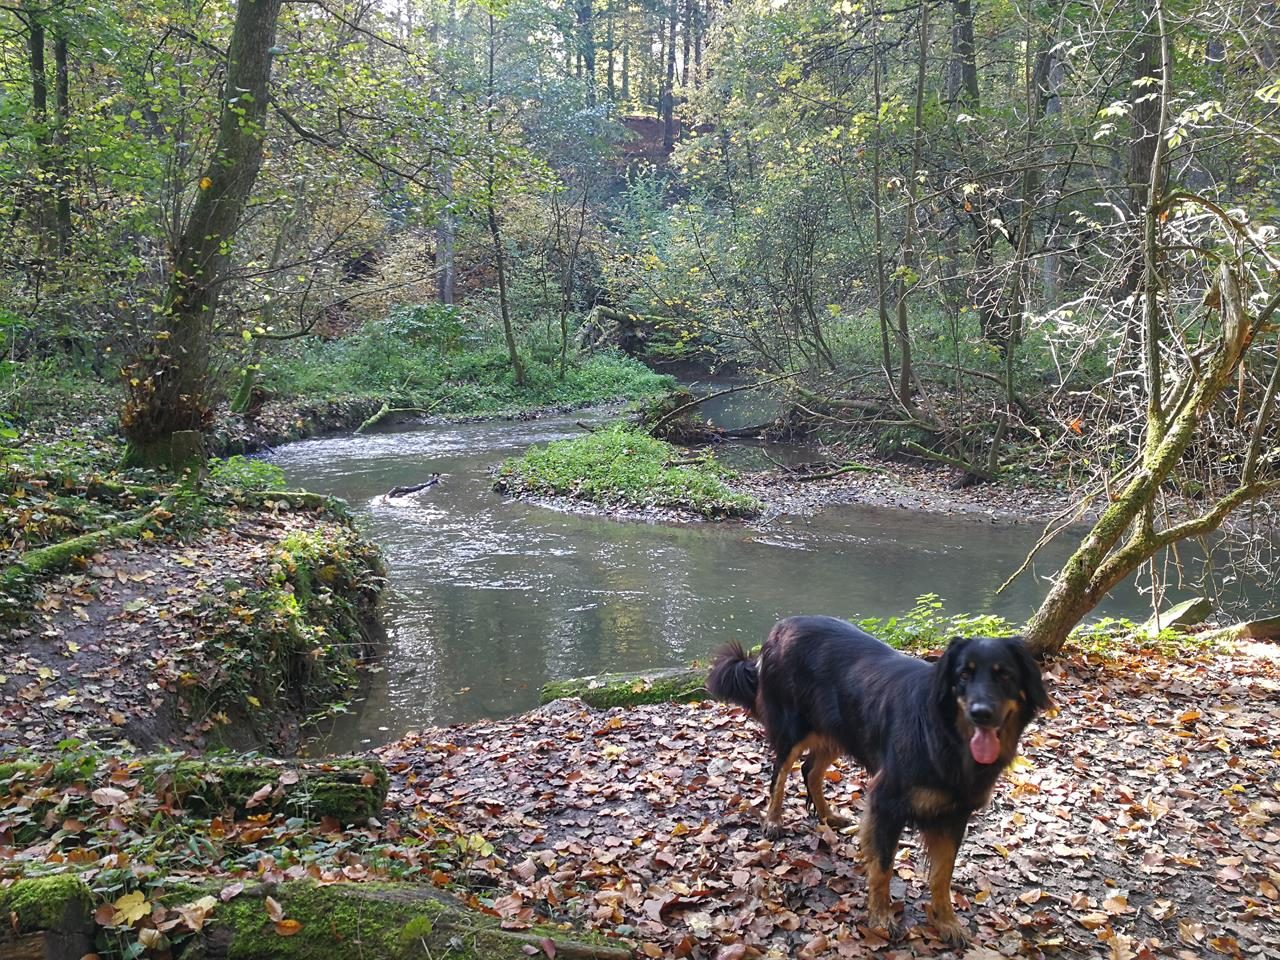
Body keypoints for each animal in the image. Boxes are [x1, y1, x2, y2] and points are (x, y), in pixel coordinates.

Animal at [711, 616, 1049, 947]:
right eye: (963, 675)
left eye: (1005, 676)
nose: (981, 714)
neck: (946, 735)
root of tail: (780, 627)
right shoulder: (887, 802)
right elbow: (884, 867)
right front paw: (882, 919)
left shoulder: (955, 813)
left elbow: (942, 874)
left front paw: (947, 922)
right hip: (794, 727)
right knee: (779, 774)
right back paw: (773, 820)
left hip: (839, 729)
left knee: (811, 770)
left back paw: (828, 815)